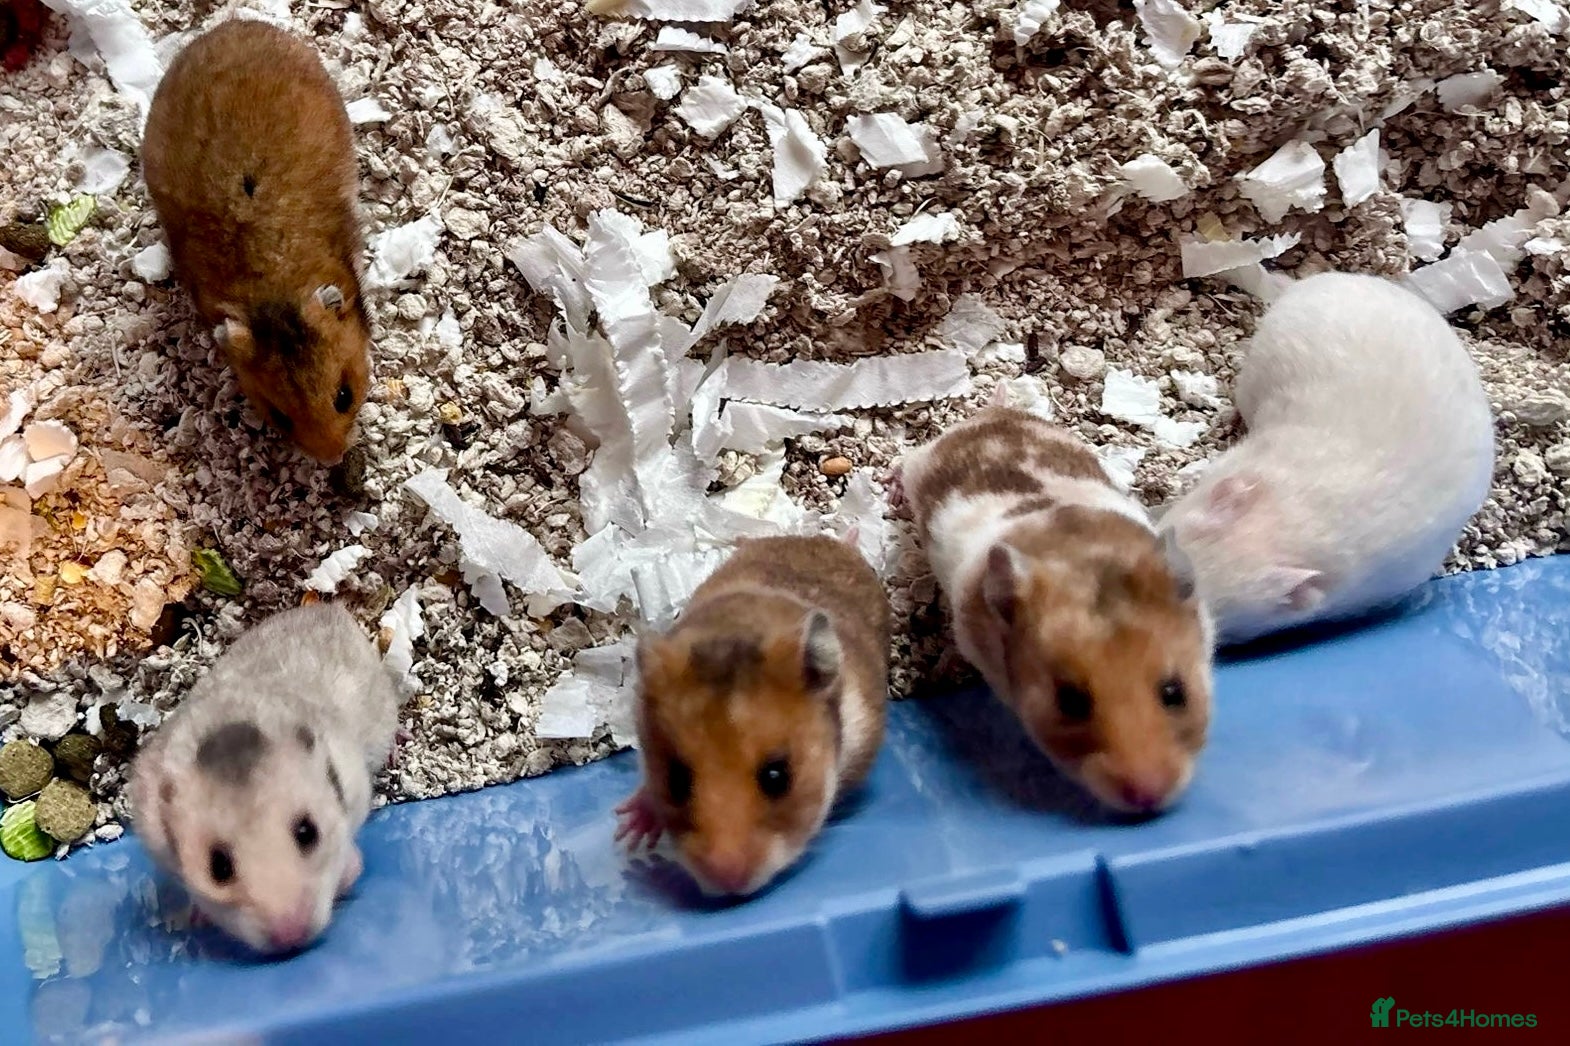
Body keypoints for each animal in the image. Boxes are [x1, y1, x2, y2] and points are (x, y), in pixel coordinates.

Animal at [129, 603, 399, 954]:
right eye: (218, 867)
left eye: (308, 833)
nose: (291, 940)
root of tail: (329, 608)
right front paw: (194, 918)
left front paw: (349, 874)